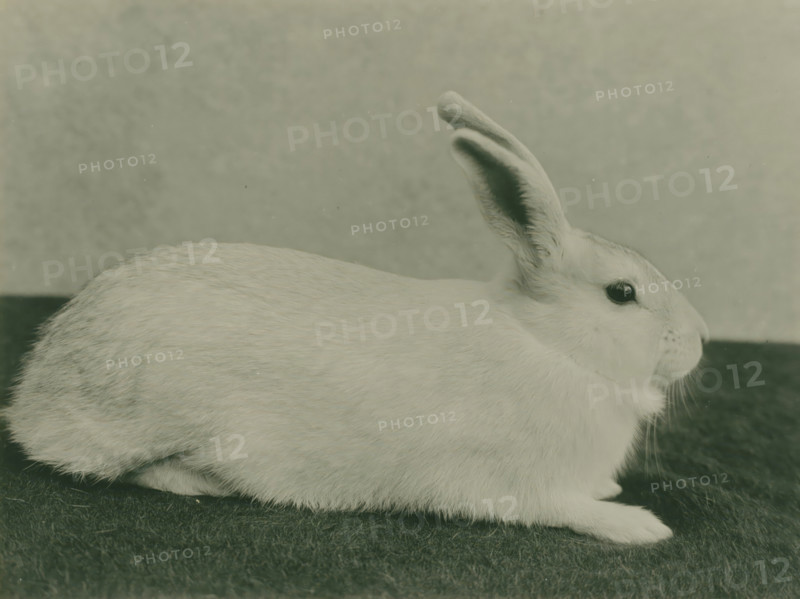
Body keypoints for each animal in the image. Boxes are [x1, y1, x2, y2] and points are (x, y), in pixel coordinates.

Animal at [3, 91, 708, 545]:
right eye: (622, 293)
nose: (701, 341)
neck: (552, 345)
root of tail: (34, 388)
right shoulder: (515, 484)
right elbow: (565, 509)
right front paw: (639, 525)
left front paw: (612, 492)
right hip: (149, 412)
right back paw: (204, 483)